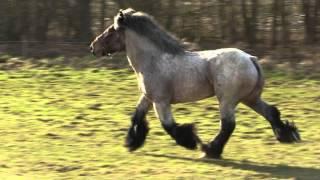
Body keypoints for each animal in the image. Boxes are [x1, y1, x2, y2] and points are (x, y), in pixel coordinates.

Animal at [89, 8, 300, 158]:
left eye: (110, 31)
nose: (93, 47)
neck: (153, 60)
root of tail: (251, 58)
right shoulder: (148, 98)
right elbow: (136, 117)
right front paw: (131, 143)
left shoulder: (161, 101)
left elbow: (169, 125)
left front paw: (190, 141)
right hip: (250, 98)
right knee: (271, 112)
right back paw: (288, 135)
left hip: (227, 100)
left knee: (228, 125)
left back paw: (209, 149)